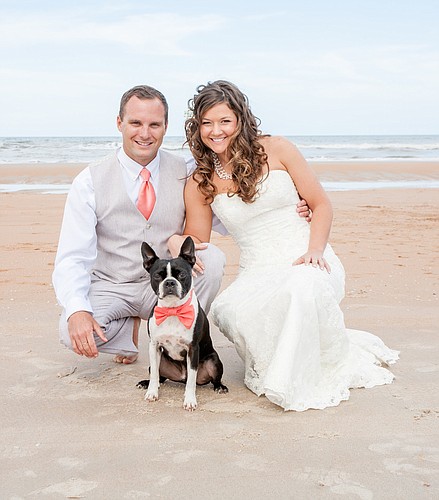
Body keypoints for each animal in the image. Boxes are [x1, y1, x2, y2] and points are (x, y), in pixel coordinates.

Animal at [137, 235, 227, 410]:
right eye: (157, 276)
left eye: (182, 274)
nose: (169, 282)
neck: (173, 310)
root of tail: (181, 377)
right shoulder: (154, 346)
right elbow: (155, 375)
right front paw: (151, 392)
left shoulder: (193, 348)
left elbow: (192, 380)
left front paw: (190, 400)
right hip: (160, 361)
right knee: (159, 376)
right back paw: (147, 383)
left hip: (213, 360)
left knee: (210, 379)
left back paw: (220, 387)